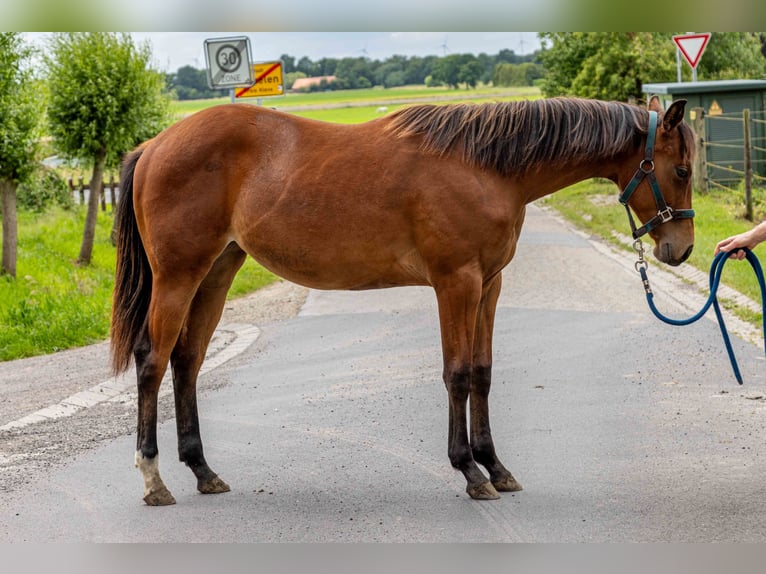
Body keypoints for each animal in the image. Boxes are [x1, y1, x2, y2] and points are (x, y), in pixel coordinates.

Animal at [111, 95, 695, 505]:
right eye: (683, 170)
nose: (681, 249)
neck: (486, 167)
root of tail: (155, 145)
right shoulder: (456, 283)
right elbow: (456, 374)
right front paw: (469, 471)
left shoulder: (489, 285)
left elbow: (482, 373)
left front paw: (496, 467)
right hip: (178, 276)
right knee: (152, 361)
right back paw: (152, 479)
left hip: (217, 272)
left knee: (187, 361)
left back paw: (203, 471)